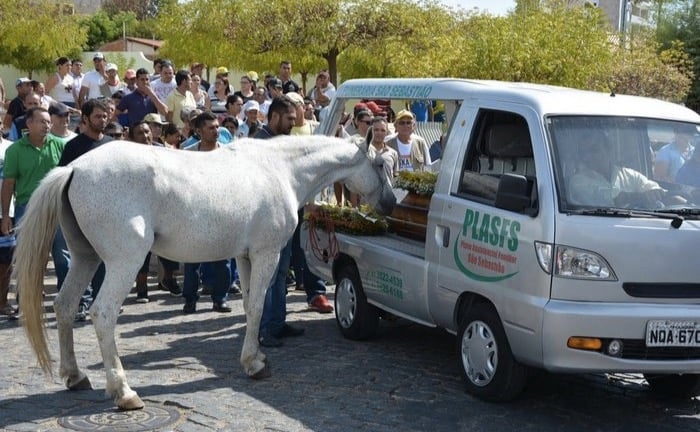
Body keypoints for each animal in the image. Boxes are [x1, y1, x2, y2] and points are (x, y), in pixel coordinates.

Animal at [15, 137, 394, 410]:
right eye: (379, 163)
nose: (390, 202)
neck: (279, 169)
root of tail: (74, 169)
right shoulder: (266, 254)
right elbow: (259, 306)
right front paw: (255, 365)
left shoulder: (244, 257)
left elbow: (249, 307)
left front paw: (255, 357)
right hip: (124, 263)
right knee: (103, 314)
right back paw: (124, 392)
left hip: (85, 258)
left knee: (65, 306)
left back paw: (75, 376)